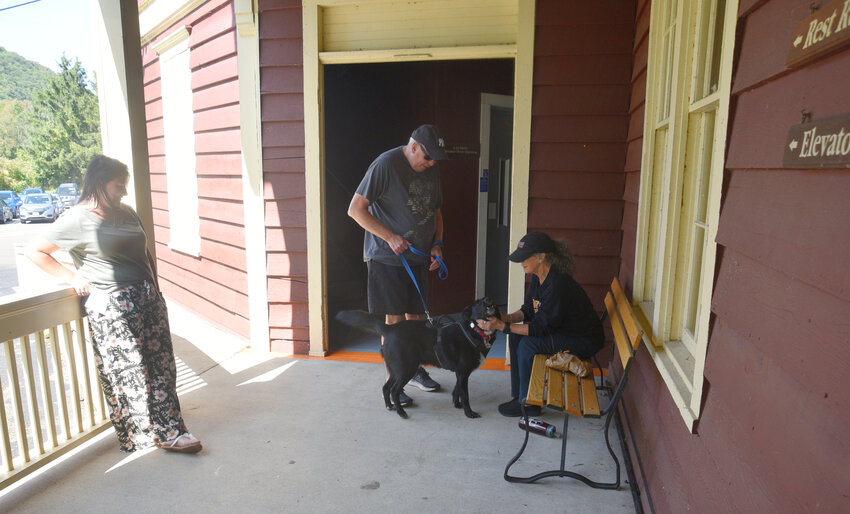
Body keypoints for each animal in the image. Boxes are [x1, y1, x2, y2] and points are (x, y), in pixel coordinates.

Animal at [334, 298, 500, 418]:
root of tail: (389, 329)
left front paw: (456, 404)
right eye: (478, 302)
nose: (489, 300)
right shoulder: (463, 373)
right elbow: (465, 395)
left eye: (487, 298)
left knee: (386, 387)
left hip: (396, 369)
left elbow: (456, 390)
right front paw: (469, 413)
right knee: (394, 390)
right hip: (406, 368)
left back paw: (390, 406)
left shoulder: (460, 374)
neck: (475, 329)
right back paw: (401, 412)